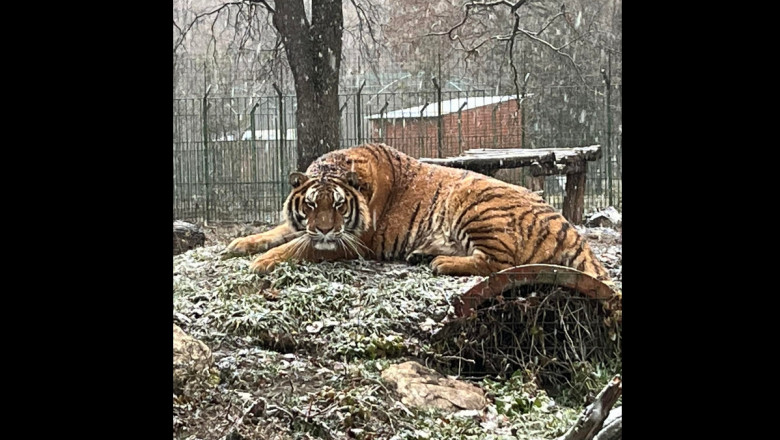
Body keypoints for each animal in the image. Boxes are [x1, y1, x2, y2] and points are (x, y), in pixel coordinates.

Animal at [222, 144, 612, 282]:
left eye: (339, 205)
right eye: (311, 205)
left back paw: (441, 262)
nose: (324, 230)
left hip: (475, 204)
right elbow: (278, 232)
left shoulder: (353, 242)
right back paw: (423, 254)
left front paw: (262, 261)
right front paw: (240, 244)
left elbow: (296, 247)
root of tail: (568, 226)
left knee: (501, 264)